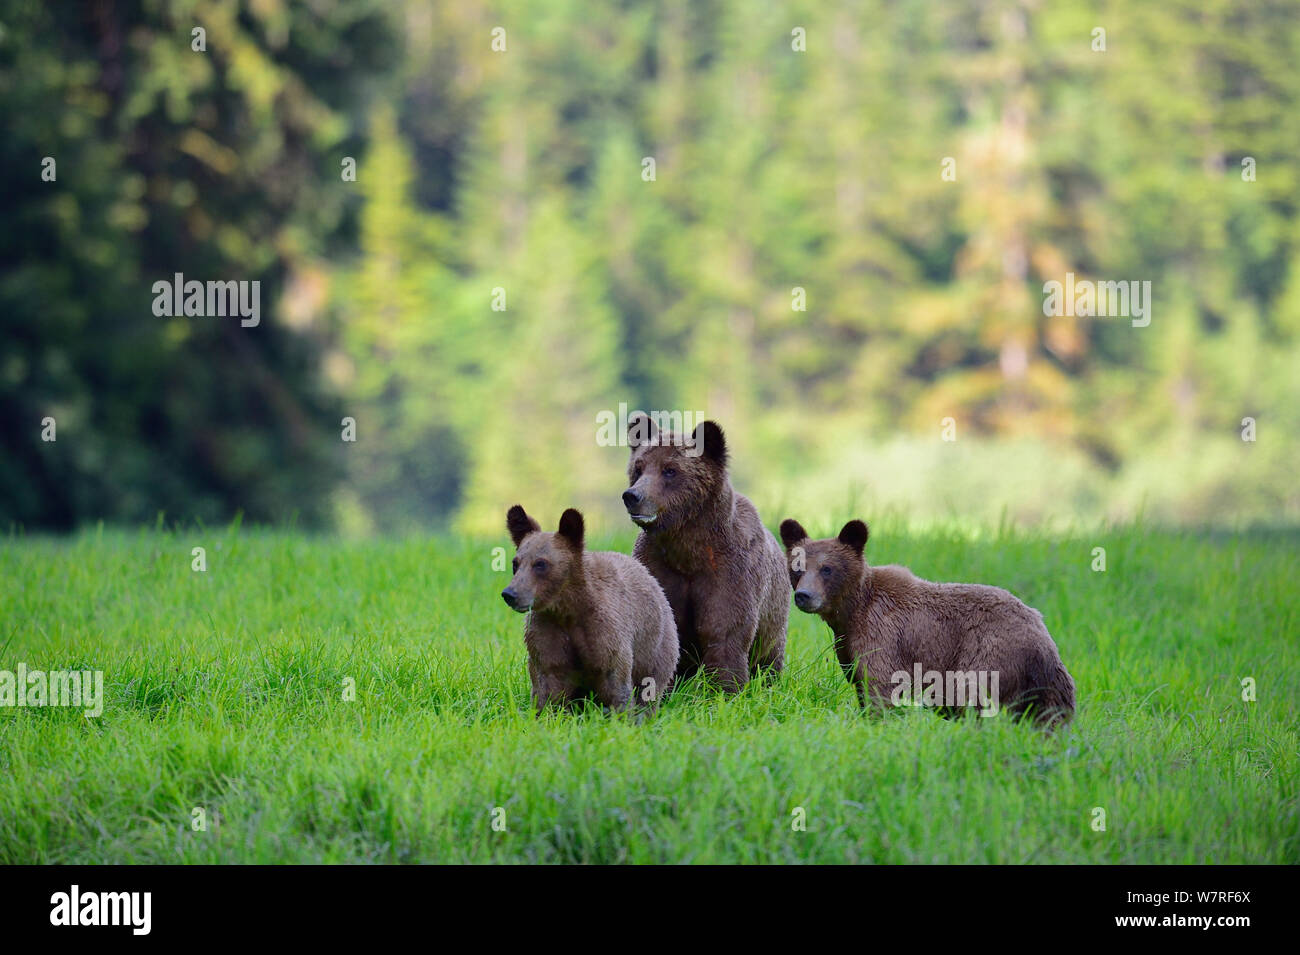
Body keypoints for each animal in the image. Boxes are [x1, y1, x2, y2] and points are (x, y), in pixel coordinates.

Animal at [502, 504, 679, 713]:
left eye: (540, 563)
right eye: (516, 563)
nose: (510, 594)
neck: (568, 609)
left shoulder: (604, 632)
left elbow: (616, 679)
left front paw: (623, 714)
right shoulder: (546, 632)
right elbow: (546, 684)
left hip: (656, 646)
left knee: (650, 684)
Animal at [621, 415, 788, 691]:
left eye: (670, 469)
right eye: (638, 467)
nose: (633, 496)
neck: (687, 550)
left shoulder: (729, 570)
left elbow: (725, 630)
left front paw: (727, 688)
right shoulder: (659, 566)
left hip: (774, 616)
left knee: (769, 656)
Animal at [779, 518, 1075, 728]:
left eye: (827, 569)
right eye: (797, 567)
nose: (804, 596)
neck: (850, 613)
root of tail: (1045, 639)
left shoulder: (883, 635)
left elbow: (882, 686)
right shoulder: (848, 647)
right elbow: (860, 682)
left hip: (989, 650)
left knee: (971, 695)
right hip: (1044, 684)